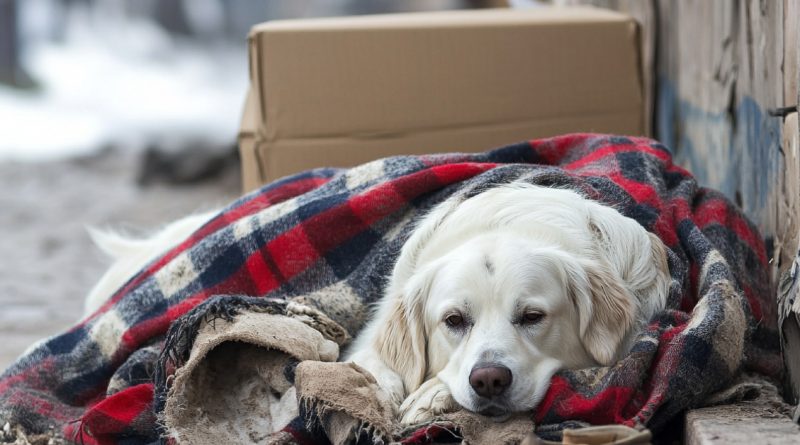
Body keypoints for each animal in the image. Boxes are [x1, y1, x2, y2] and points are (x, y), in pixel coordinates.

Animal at [346, 183, 672, 424]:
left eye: (532, 316)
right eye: (454, 320)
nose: (489, 380)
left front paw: (430, 394)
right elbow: (368, 359)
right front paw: (383, 387)